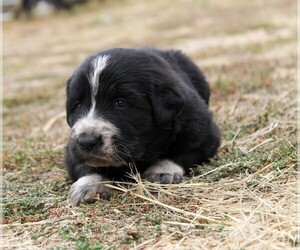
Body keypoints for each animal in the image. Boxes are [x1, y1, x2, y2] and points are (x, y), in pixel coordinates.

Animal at [65, 47, 220, 205]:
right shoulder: (71, 150)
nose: (86, 142)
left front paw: (161, 171)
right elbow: (85, 164)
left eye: (120, 103)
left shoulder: (202, 133)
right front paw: (89, 185)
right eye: (77, 105)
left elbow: (183, 152)